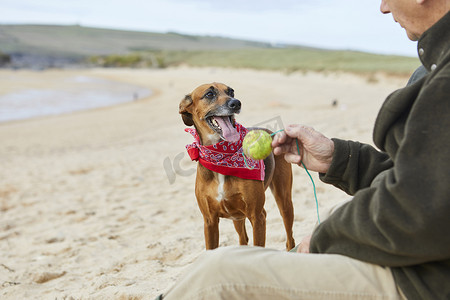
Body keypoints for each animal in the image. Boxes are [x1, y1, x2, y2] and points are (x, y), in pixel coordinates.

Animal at [179, 82, 296, 251]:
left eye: (231, 91)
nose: (236, 103)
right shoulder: (209, 221)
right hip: (237, 216)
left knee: (289, 238)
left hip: (284, 200)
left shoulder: (257, 216)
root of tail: (271, 132)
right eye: (209, 94)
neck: (220, 156)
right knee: (243, 239)